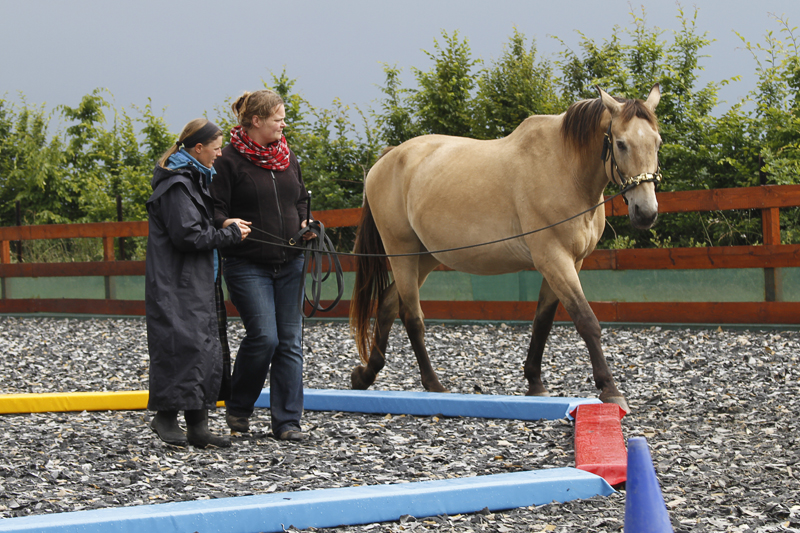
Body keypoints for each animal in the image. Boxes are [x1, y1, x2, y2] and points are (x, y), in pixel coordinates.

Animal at [350, 84, 664, 412]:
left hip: (422, 257)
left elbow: (543, 322)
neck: (565, 168)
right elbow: (586, 320)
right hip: (402, 252)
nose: (646, 212)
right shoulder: (553, 259)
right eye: (621, 144)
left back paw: (365, 375)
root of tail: (386, 160)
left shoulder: (569, 262)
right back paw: (433, 385)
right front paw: (610, 389)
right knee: (411, 316)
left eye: (657, 142)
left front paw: (535, 383)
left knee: (387, 305)